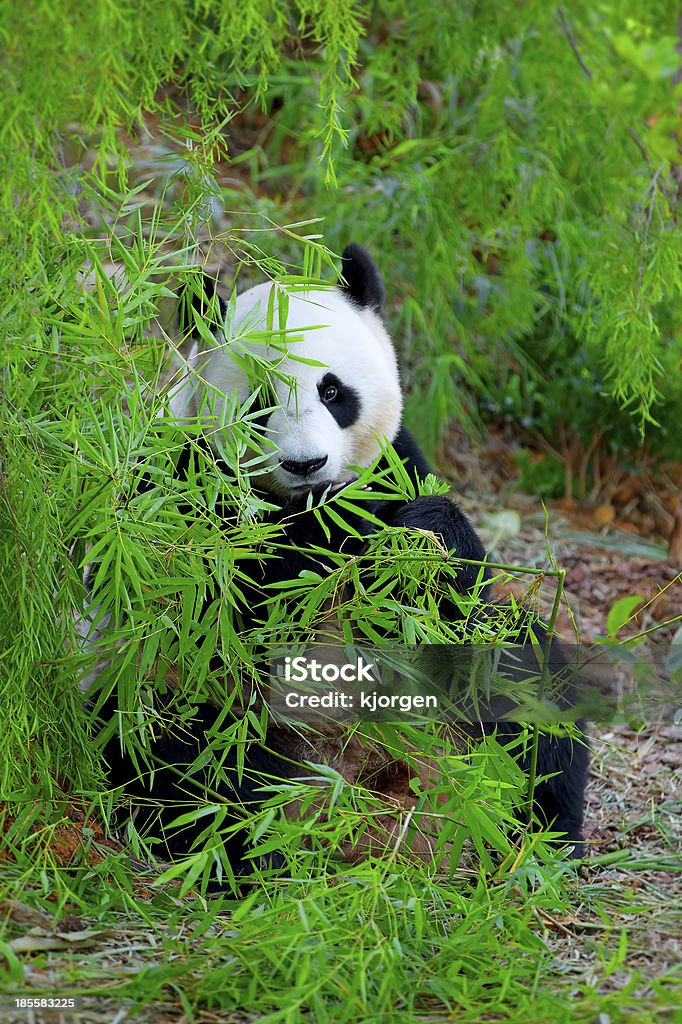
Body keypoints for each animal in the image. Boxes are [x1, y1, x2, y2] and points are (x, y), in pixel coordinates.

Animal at [90, 243, 585, 876]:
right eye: (260, 403)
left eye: (332, 392)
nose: (306, 464)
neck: (313, 504)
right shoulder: (186, 484)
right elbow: (228, 599)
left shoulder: (394, 467)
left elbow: (450, 590)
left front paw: (419, 541)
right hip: (194, 704)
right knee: (181, 748)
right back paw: (249, 852)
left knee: (529, 682)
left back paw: (539, 842)